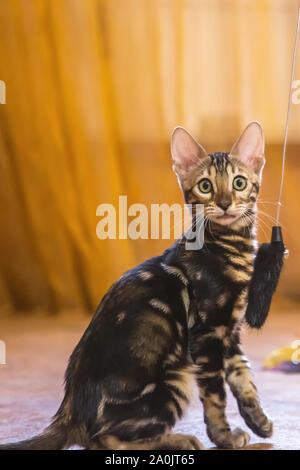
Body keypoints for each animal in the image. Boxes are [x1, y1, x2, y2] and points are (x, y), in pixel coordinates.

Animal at [0, 120, 272, 448]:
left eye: (239, 183)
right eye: (205, 186)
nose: (224, 204)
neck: (229, 246)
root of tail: (72, 411)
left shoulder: (230, 333)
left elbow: (245, 378)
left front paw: (260, 423)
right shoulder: (207, 334)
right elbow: (215, 396)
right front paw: (223, 437)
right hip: (174, 379)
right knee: (105, 439)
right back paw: (178, 439)